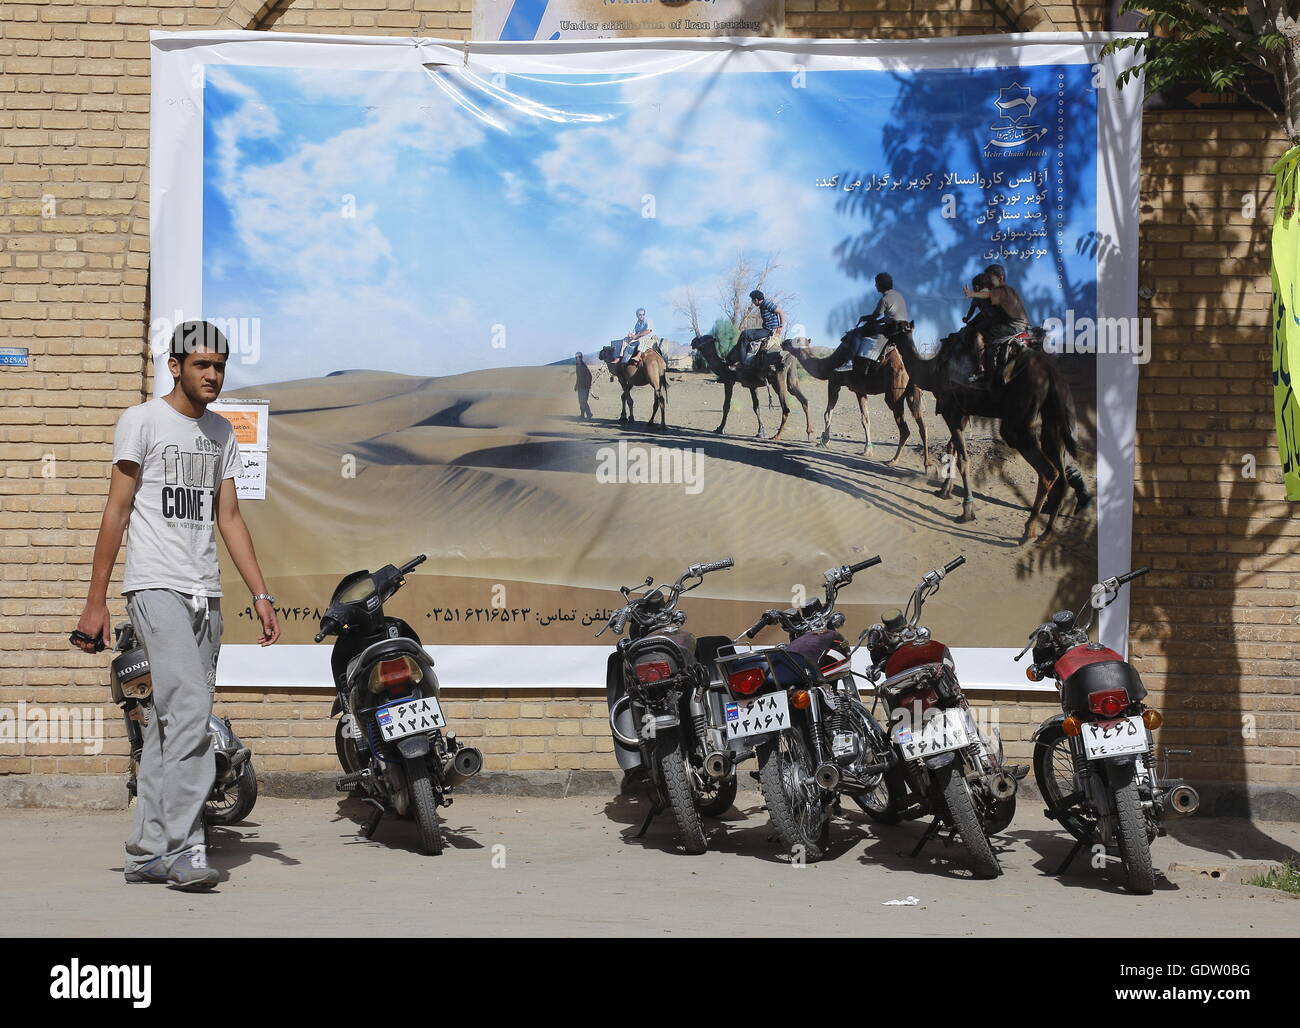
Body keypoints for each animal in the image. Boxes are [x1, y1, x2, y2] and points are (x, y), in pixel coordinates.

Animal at [774, 332, 930, 470]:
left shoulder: (834, 383)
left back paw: (893, 460)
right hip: (912, 392)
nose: (784, 342)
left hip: (894, 392)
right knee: (922, 424)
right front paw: (867, 450)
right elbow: (865, 419)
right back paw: (926, 465)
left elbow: (827, 413)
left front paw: (824, 441)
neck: (829, 363)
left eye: (794, 341)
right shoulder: (860, 391)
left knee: (905, 429)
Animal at [889, 322, 1092, 545]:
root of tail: (1051, 372)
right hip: (1052, 424)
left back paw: (1028, 531)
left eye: (889, 325)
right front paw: (944, 491)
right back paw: (1046, 534)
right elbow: (952, 449)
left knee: (1048, 471)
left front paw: (966, 512)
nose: (872, 327)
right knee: (1061, 475)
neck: (932, 370)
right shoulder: (962, 413)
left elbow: (962, 459)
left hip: (1018, 425)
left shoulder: (952, 411)